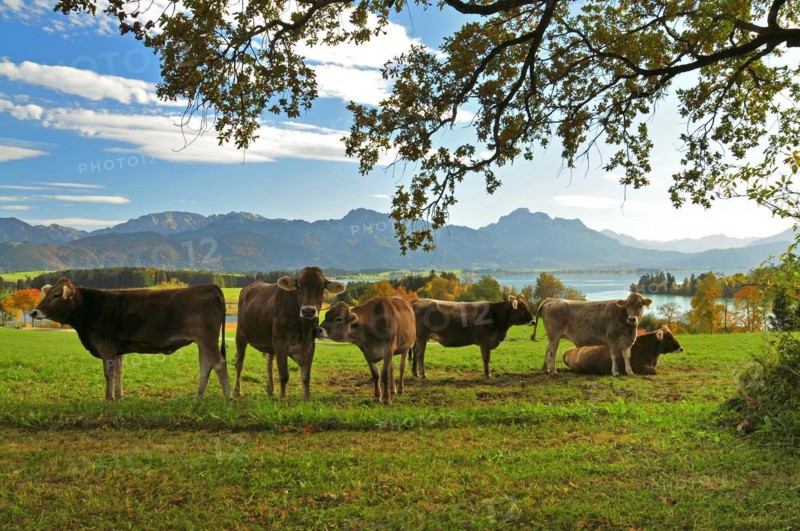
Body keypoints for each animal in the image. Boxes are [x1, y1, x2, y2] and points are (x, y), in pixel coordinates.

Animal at [29, 277, 229, 400]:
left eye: (56, 295)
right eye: (47, 293)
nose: (34, 312)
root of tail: (211, 287)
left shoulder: (106, 345)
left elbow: (108, 372)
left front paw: (108, 398)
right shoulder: (118, 348)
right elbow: (119, 371)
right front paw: (119, 396)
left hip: (207, 339)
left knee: (219, 363)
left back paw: (228, 398)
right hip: (202, 341)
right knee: (205, 366)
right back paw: (197, 398)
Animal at [233, 267, 345, 400]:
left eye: (321, 287)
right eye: (299, 286)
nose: (308, 311)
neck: (303, 330)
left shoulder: (310, 346)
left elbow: (306, 377)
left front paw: (307, 398)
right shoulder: (280, 344)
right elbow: (284, 375)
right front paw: (282, 398)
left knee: (269, 363)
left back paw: (271, 390)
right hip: (241, 334)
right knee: (239, 362)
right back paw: (237, 391)